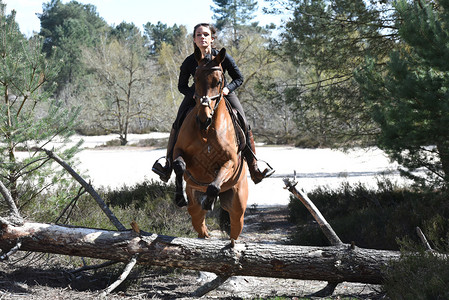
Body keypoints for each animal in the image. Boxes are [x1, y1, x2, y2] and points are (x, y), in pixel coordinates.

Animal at [172, 47, 248, 241]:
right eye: (196, 79)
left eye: (219, 81)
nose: (203, 119)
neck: (206, 130)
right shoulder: (178, 151)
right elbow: (179, 165)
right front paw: (180, 197)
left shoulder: (230, 162)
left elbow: (214, 185)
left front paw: (209, 200)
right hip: (195, 208)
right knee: (200, 225)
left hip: (238, 206)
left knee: (235, 229)